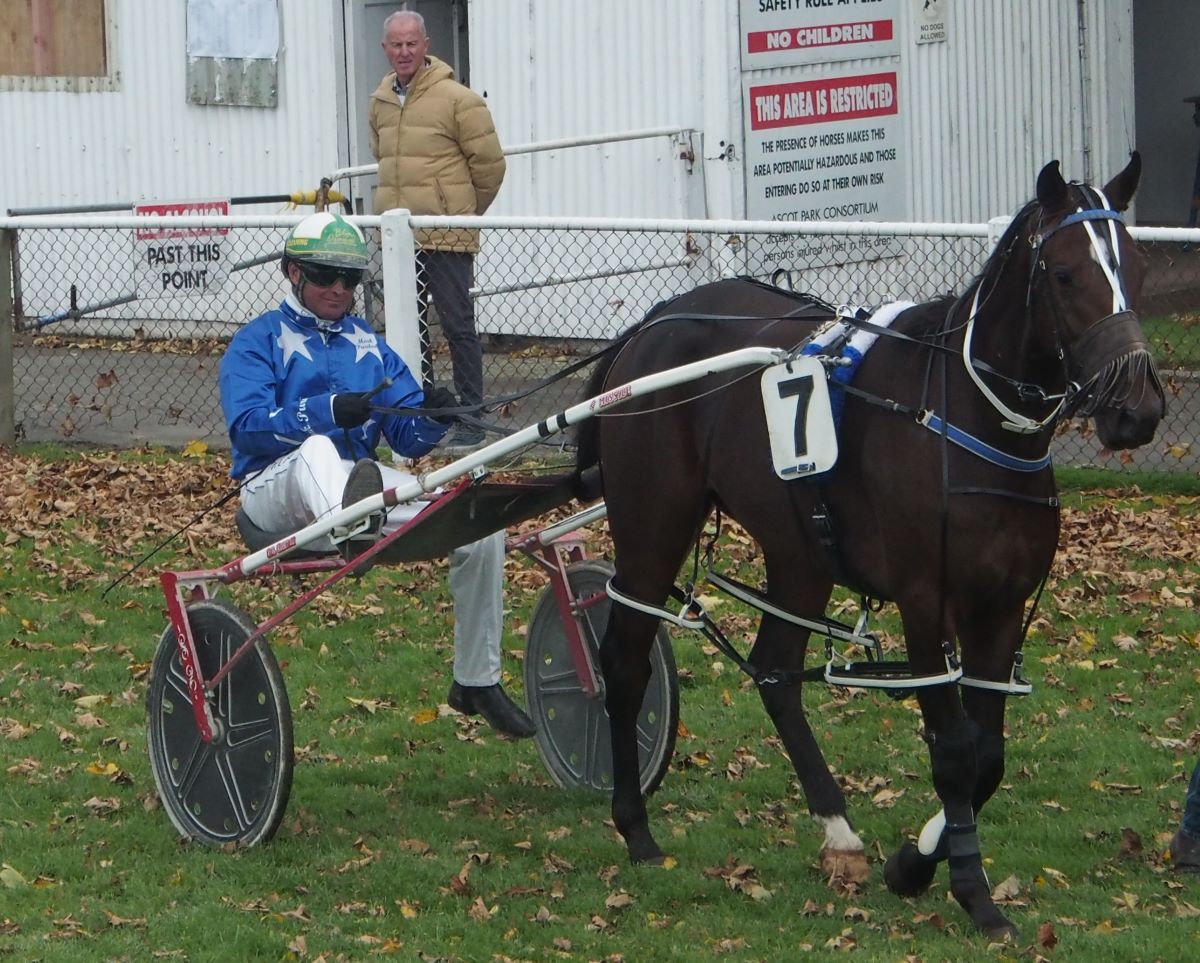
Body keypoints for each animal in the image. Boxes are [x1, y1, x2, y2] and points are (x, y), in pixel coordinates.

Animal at [572, 154, 1164, 939]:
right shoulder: (925, 602)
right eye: (1065, 273)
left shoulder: (1001, 607)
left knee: (775, 672)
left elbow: (989, 755)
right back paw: (635, 826)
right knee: (625, 662)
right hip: (652, 528)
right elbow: (956, 754)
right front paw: (968, 891)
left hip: (798, 548)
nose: (1138, 408)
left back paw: (836, 826)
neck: (964, 413)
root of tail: (649, 325)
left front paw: (915, 861)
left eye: (1138, 264)